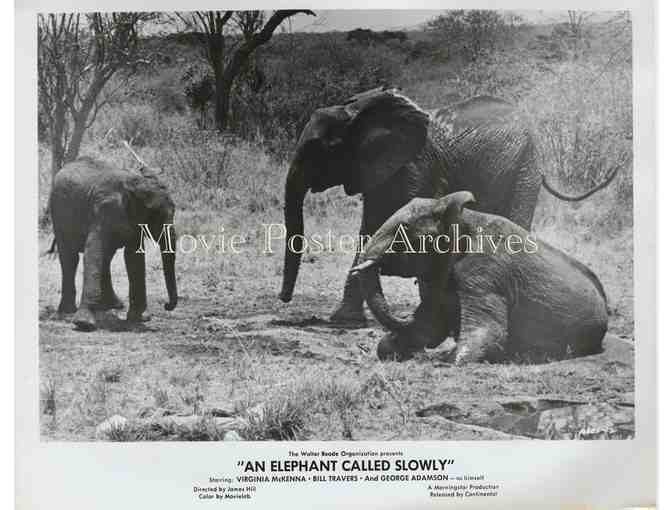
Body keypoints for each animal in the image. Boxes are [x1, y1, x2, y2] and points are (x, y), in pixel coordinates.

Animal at [49, 157, 178, 331]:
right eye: (155, 215)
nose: (166, 305)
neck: (133, 184)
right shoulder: (103, 210)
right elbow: (94, 251)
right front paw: (84, 324)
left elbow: (134, 258)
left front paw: (140, 318)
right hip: (58, 213)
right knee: (70, 258)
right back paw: (68, 312)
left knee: (106, 258)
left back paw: (112, 306)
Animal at [279, 86, 618, 325]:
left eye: (322, 149)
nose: (283, 298)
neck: (358, 112)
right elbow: (371, 226)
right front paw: (343, 319)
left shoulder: (417, 165)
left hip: (525, 167)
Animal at [350, 192, 608, 363]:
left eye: (403, 229)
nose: (404, 315)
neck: (459, 215)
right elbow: (430, 323)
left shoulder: (485, 271)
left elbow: (488, 332)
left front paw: (448, 360)